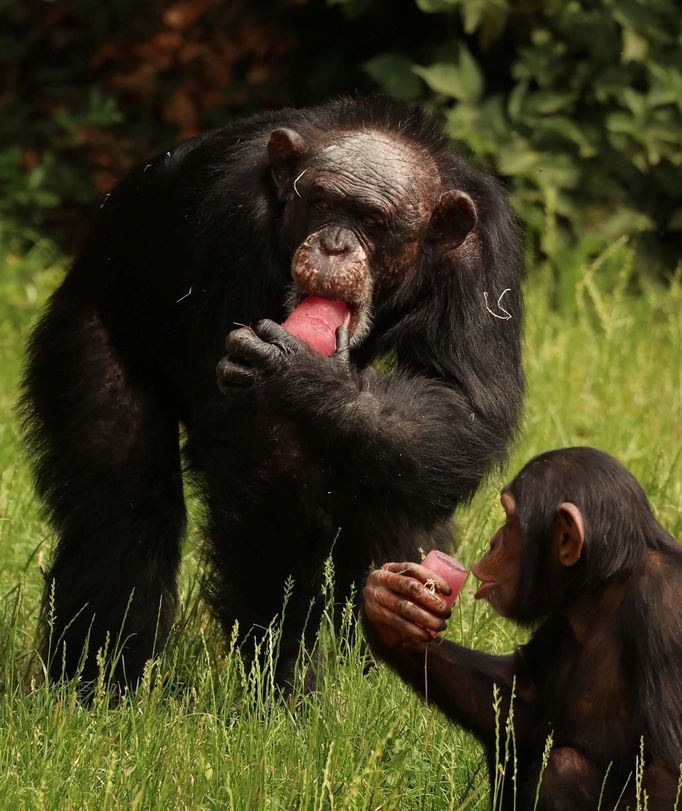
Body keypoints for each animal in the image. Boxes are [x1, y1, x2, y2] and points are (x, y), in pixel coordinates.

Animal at [21, 96, 520, 692]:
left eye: (373, 222)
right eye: (323, 202)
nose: (334, 244)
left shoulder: (484, 256)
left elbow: (463, 401)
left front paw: (302, 377)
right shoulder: (231, 223)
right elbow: (262, 454)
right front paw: (281, 678)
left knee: (394, 472)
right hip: (87, 325)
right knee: (123, 505)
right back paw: (96, 682)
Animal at [364, 448, 680, 808]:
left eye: (510, 521)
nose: (493, 541)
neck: (602, 587)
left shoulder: (664, 608)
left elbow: (666, 775)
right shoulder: (558, 617)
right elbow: (522, 698)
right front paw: (390, 607)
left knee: (563, 769)